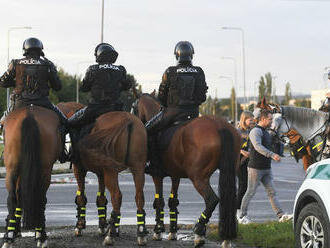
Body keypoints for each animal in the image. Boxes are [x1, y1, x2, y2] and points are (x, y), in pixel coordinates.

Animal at [1, 105, 63, 248]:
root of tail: (29, 114)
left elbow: (19, 197)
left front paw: (14, 230)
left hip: (12, 168)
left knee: (13, 198)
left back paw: (9, 238)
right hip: (45, 170)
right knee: (39, 198)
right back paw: (41, 236)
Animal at [57, 102, 148, 246]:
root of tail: (129, 121)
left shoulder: (79, 169)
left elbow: (81, 196)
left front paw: (80, 226)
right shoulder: (101, 173)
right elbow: (101, 198)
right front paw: (102, 225)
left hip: (111, 172)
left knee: (117, 196)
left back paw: (110, 236)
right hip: (137, 169)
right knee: (139, 197)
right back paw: (140, 233)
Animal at [132, 93, 240, 248]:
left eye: (134, 107)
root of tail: (220, 126)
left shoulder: (157, 175)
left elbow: (159, 201)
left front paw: (158, 231)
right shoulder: (175, 175)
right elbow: (173, 201)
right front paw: (172, 232)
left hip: (198, 178)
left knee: (212, 200)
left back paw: (199, 232)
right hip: (228, 173)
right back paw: (226, 238)